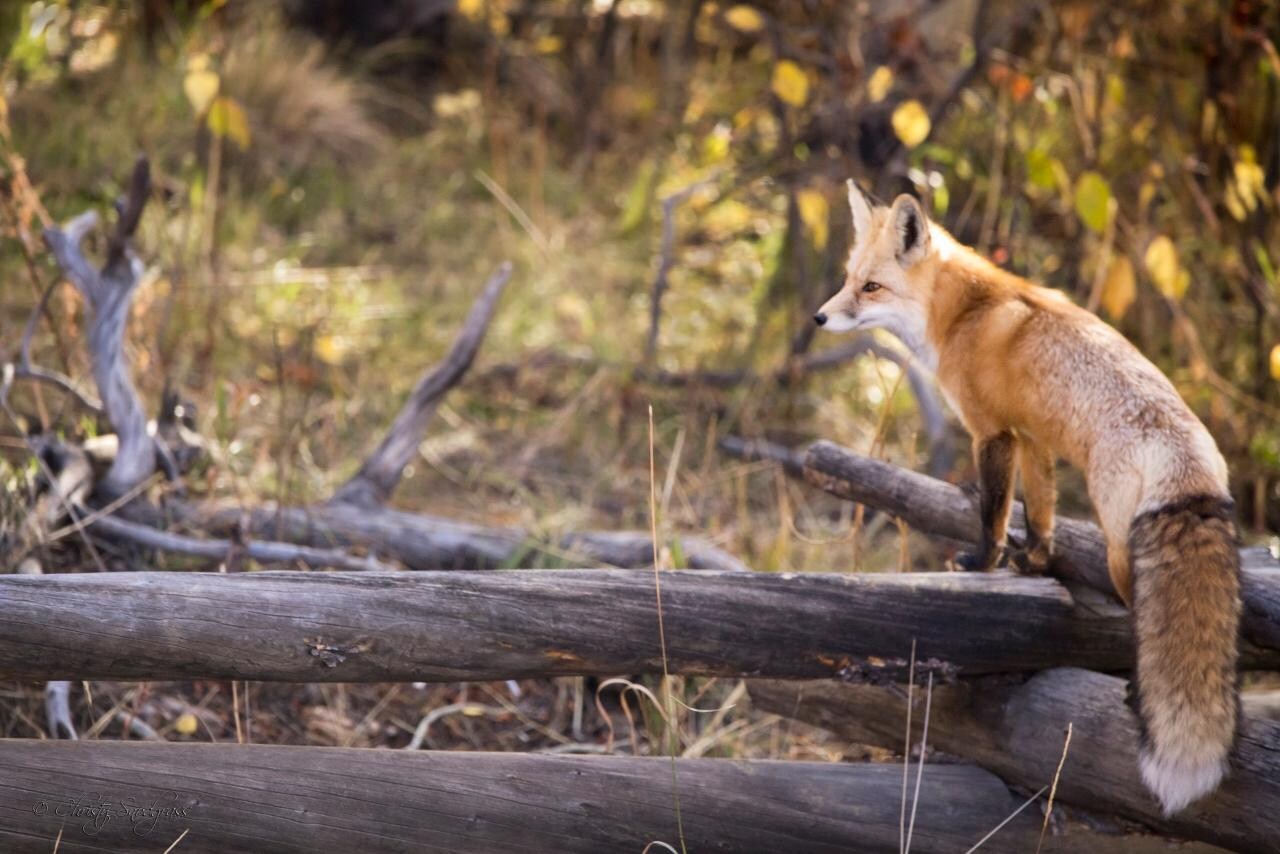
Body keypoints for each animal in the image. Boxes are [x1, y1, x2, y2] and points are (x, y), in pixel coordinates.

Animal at [815, 181, 1241, 816]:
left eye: (871, 287)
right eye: (849, 278)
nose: (819, 316)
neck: (963, 313)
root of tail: (1188, 467)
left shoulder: (992, 432)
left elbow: (992, 512)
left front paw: (982, 564)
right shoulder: (1035, 436)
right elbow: (1041, 512)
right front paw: (1036, 561)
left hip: (1122, 553)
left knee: (1140, 629)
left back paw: (1133, 697)